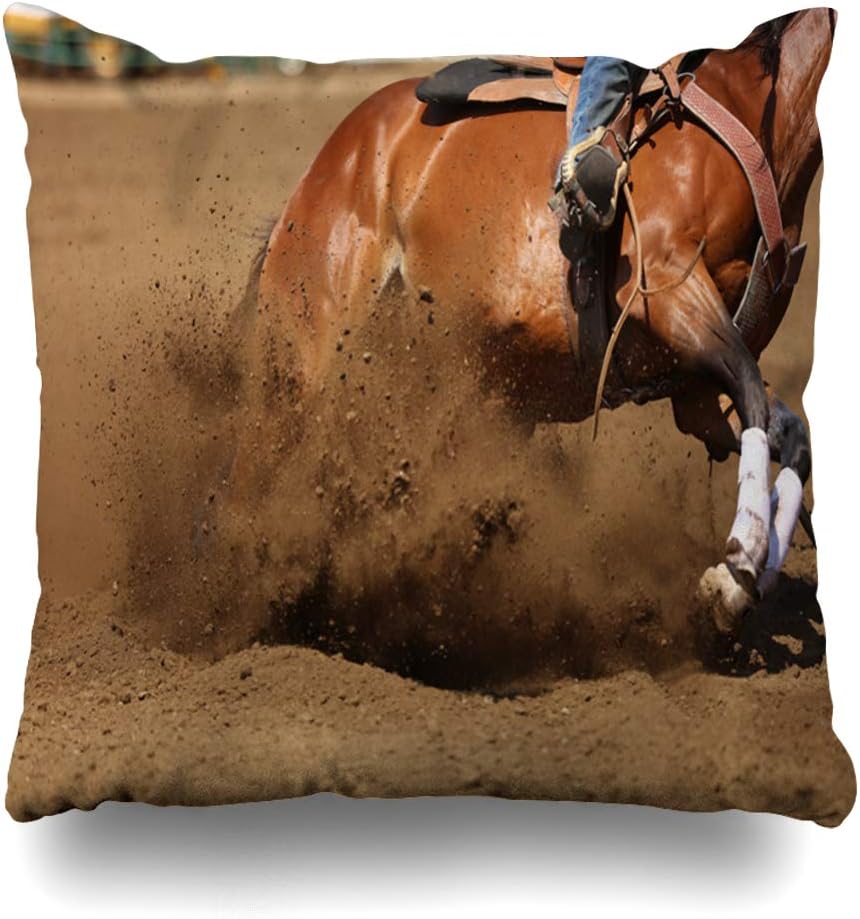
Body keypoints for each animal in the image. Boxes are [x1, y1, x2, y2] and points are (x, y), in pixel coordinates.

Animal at [243, 9, 835, 636]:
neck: (755, 106)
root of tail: (333, 157)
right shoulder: (667, 283)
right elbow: (751, 394)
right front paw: (737, 569)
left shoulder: (693, 387)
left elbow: (790, 434)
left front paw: (753, 574)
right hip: (307, 348)